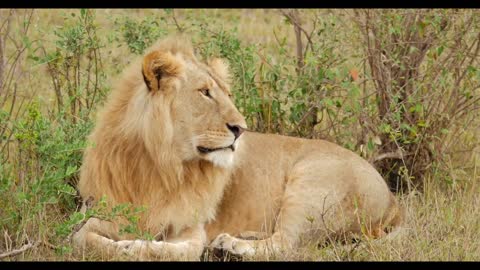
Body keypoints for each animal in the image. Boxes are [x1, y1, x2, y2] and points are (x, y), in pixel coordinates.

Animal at [73, 35, 404, 260]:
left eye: (226, 94)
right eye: (205, 93)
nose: (240, 128)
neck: (159, 163)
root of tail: (392, 199)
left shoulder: (192, 229)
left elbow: (171, 250)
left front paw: (131, 246)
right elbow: (82, 236)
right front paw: (116, 244)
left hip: (311, 183)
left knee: (286, 244)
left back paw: (231, 245)